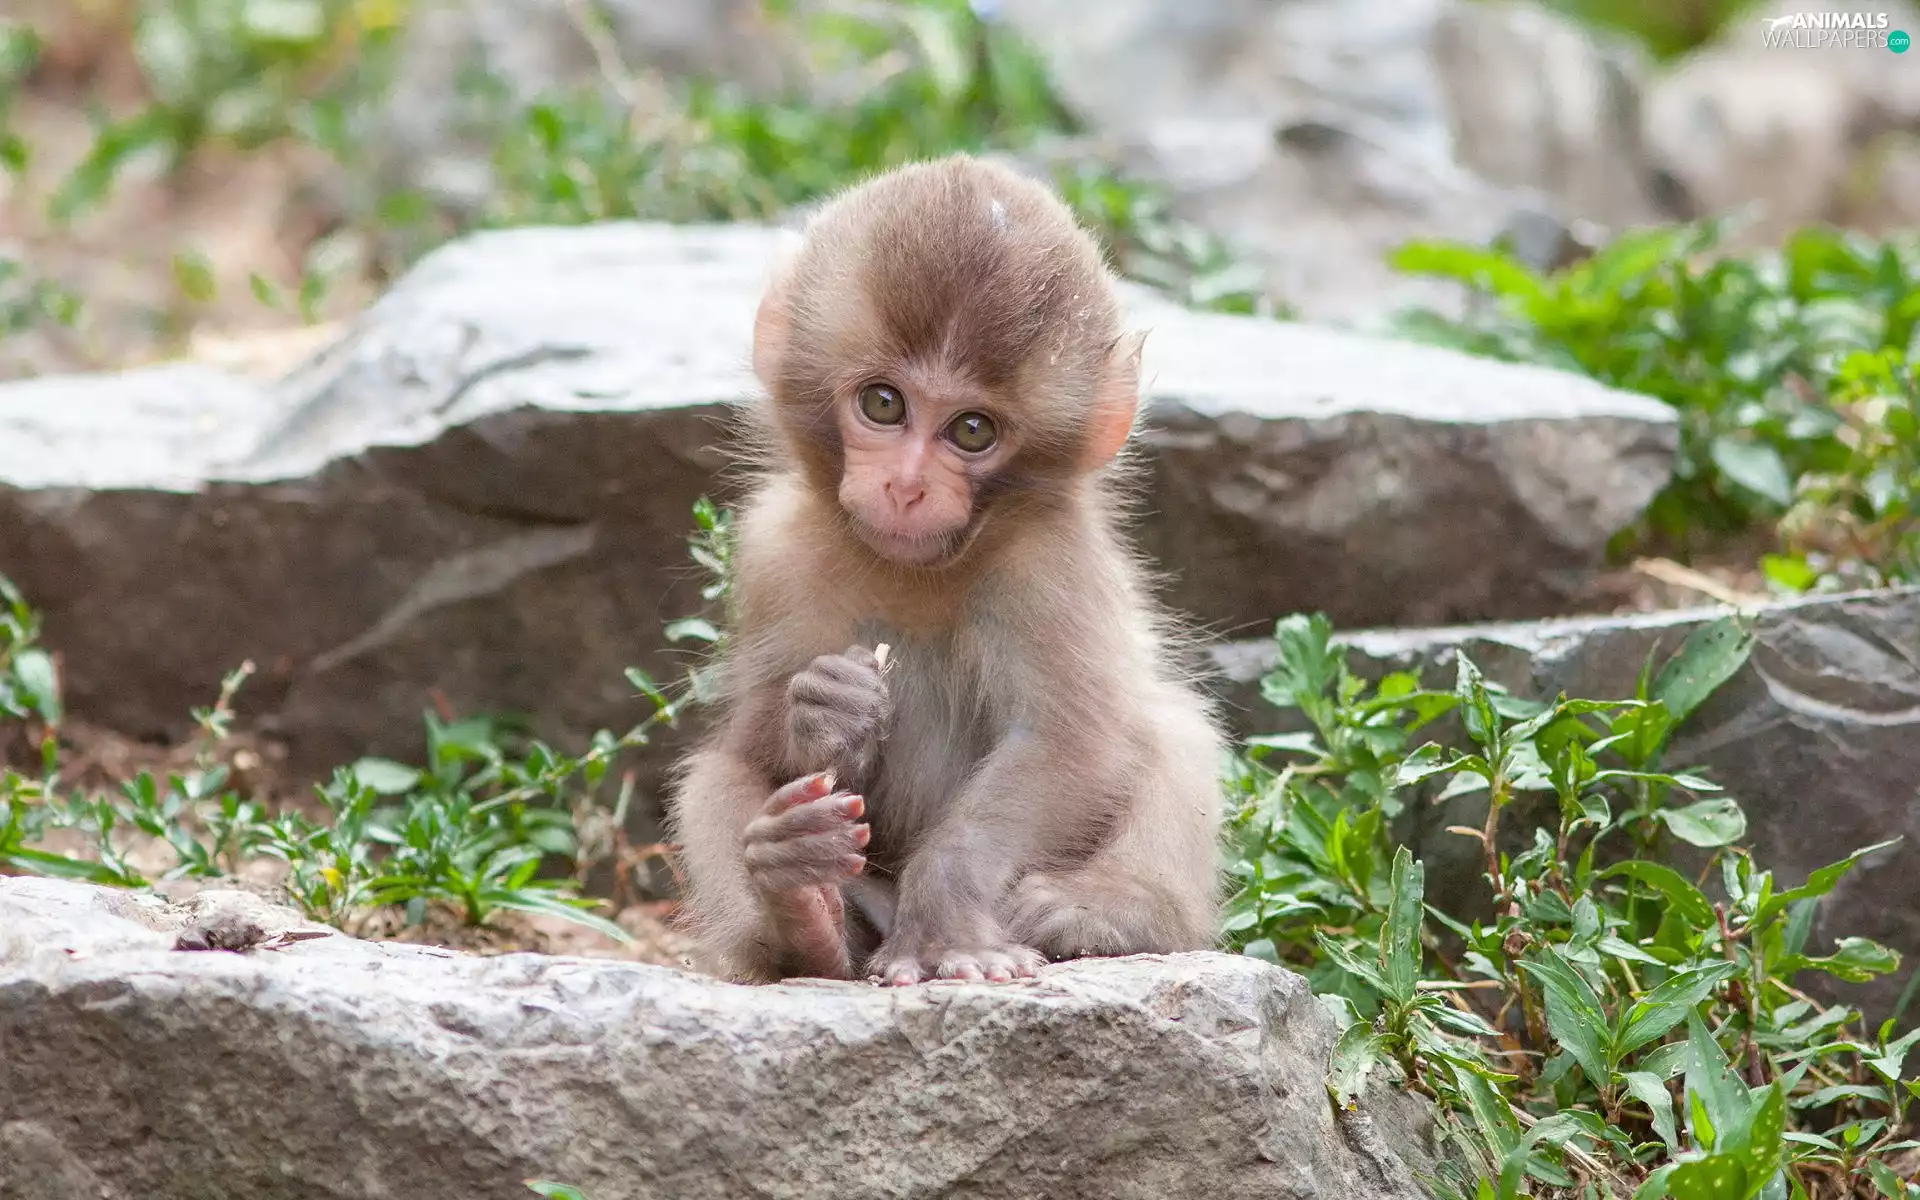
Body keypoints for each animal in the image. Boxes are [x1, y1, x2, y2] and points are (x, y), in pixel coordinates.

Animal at [664, 153, 1226, 987]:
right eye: (883, 404)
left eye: (971, 431)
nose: (907, 487)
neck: (920, 571)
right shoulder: (774, 549)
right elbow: (755, 748)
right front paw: (824, 712)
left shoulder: (1049, 566)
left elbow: (1067, 741)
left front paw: (946, 927)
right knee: (716, 776)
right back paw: (799, 916)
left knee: (1170, 726)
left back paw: (1108, 910)